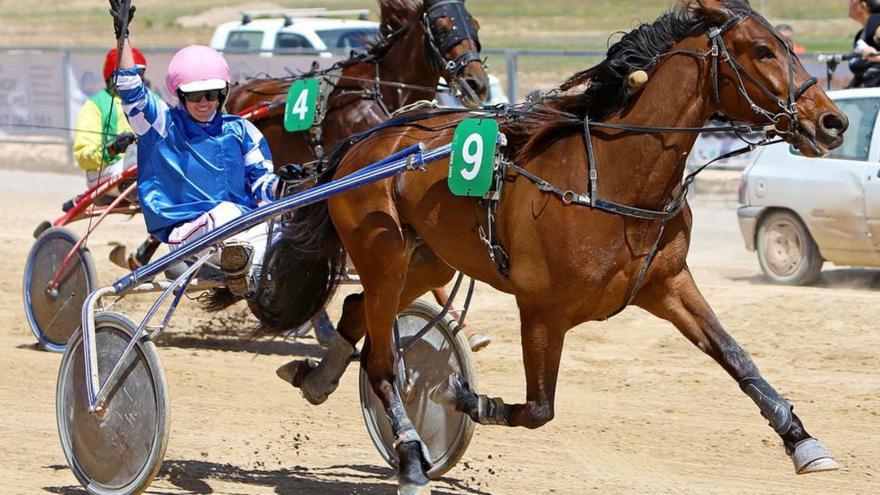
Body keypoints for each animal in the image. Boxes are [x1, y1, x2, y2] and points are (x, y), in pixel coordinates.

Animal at [274, 0, 844, 492]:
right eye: (763, 51)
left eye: (788, 45)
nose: (831, 122)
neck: (612, 178)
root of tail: (362, 146)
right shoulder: (541, 309)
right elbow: (538, 409)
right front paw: (463, 397)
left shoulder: (667, 283)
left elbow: (737, 357)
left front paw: (802, 440)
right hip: (383, 253)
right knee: (381, 362)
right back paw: (412, 460)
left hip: (428, 260)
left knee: (356, 308)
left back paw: (316, 378)